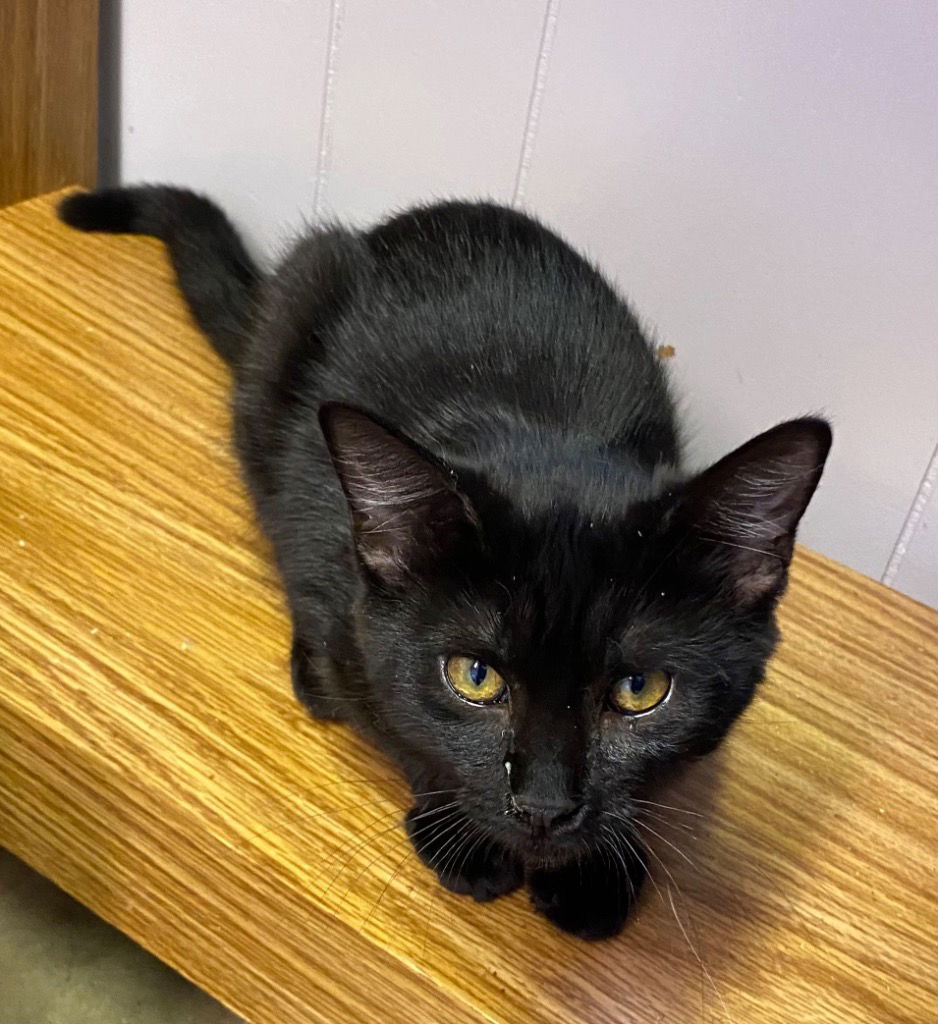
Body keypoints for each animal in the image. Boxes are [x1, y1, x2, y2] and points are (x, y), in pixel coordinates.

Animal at [62, 188, 831, 937]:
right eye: (474, 677)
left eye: (640, 689)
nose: (543, 808)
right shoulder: (327, 563)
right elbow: (393, 717)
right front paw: (461, 837)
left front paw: (596, 875)